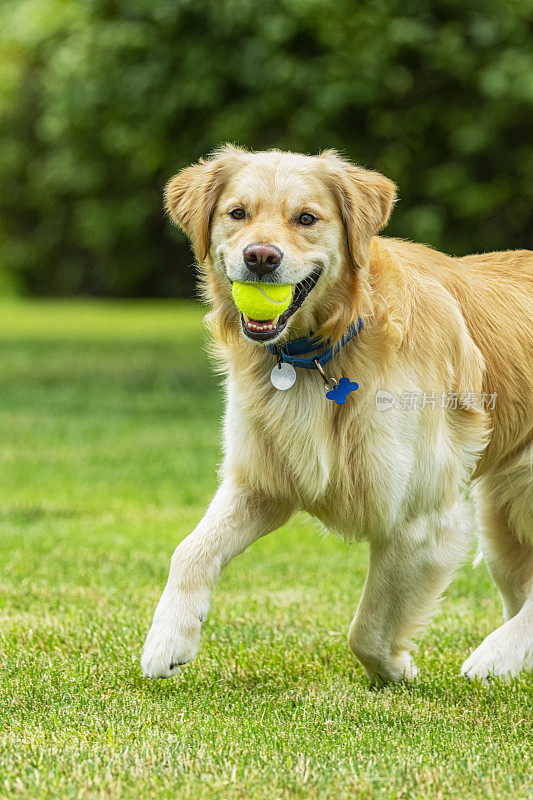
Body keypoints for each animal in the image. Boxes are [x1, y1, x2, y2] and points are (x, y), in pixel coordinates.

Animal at [141, 148, 532, 680]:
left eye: (307, 218)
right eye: (237, 213)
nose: (260, 257)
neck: (327, 347)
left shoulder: (420, 519)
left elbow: (366, 630)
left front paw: (397, 671)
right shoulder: (263, 482)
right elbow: (190, 550)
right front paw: (168, 638)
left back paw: (495, 654)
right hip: (501, 523)